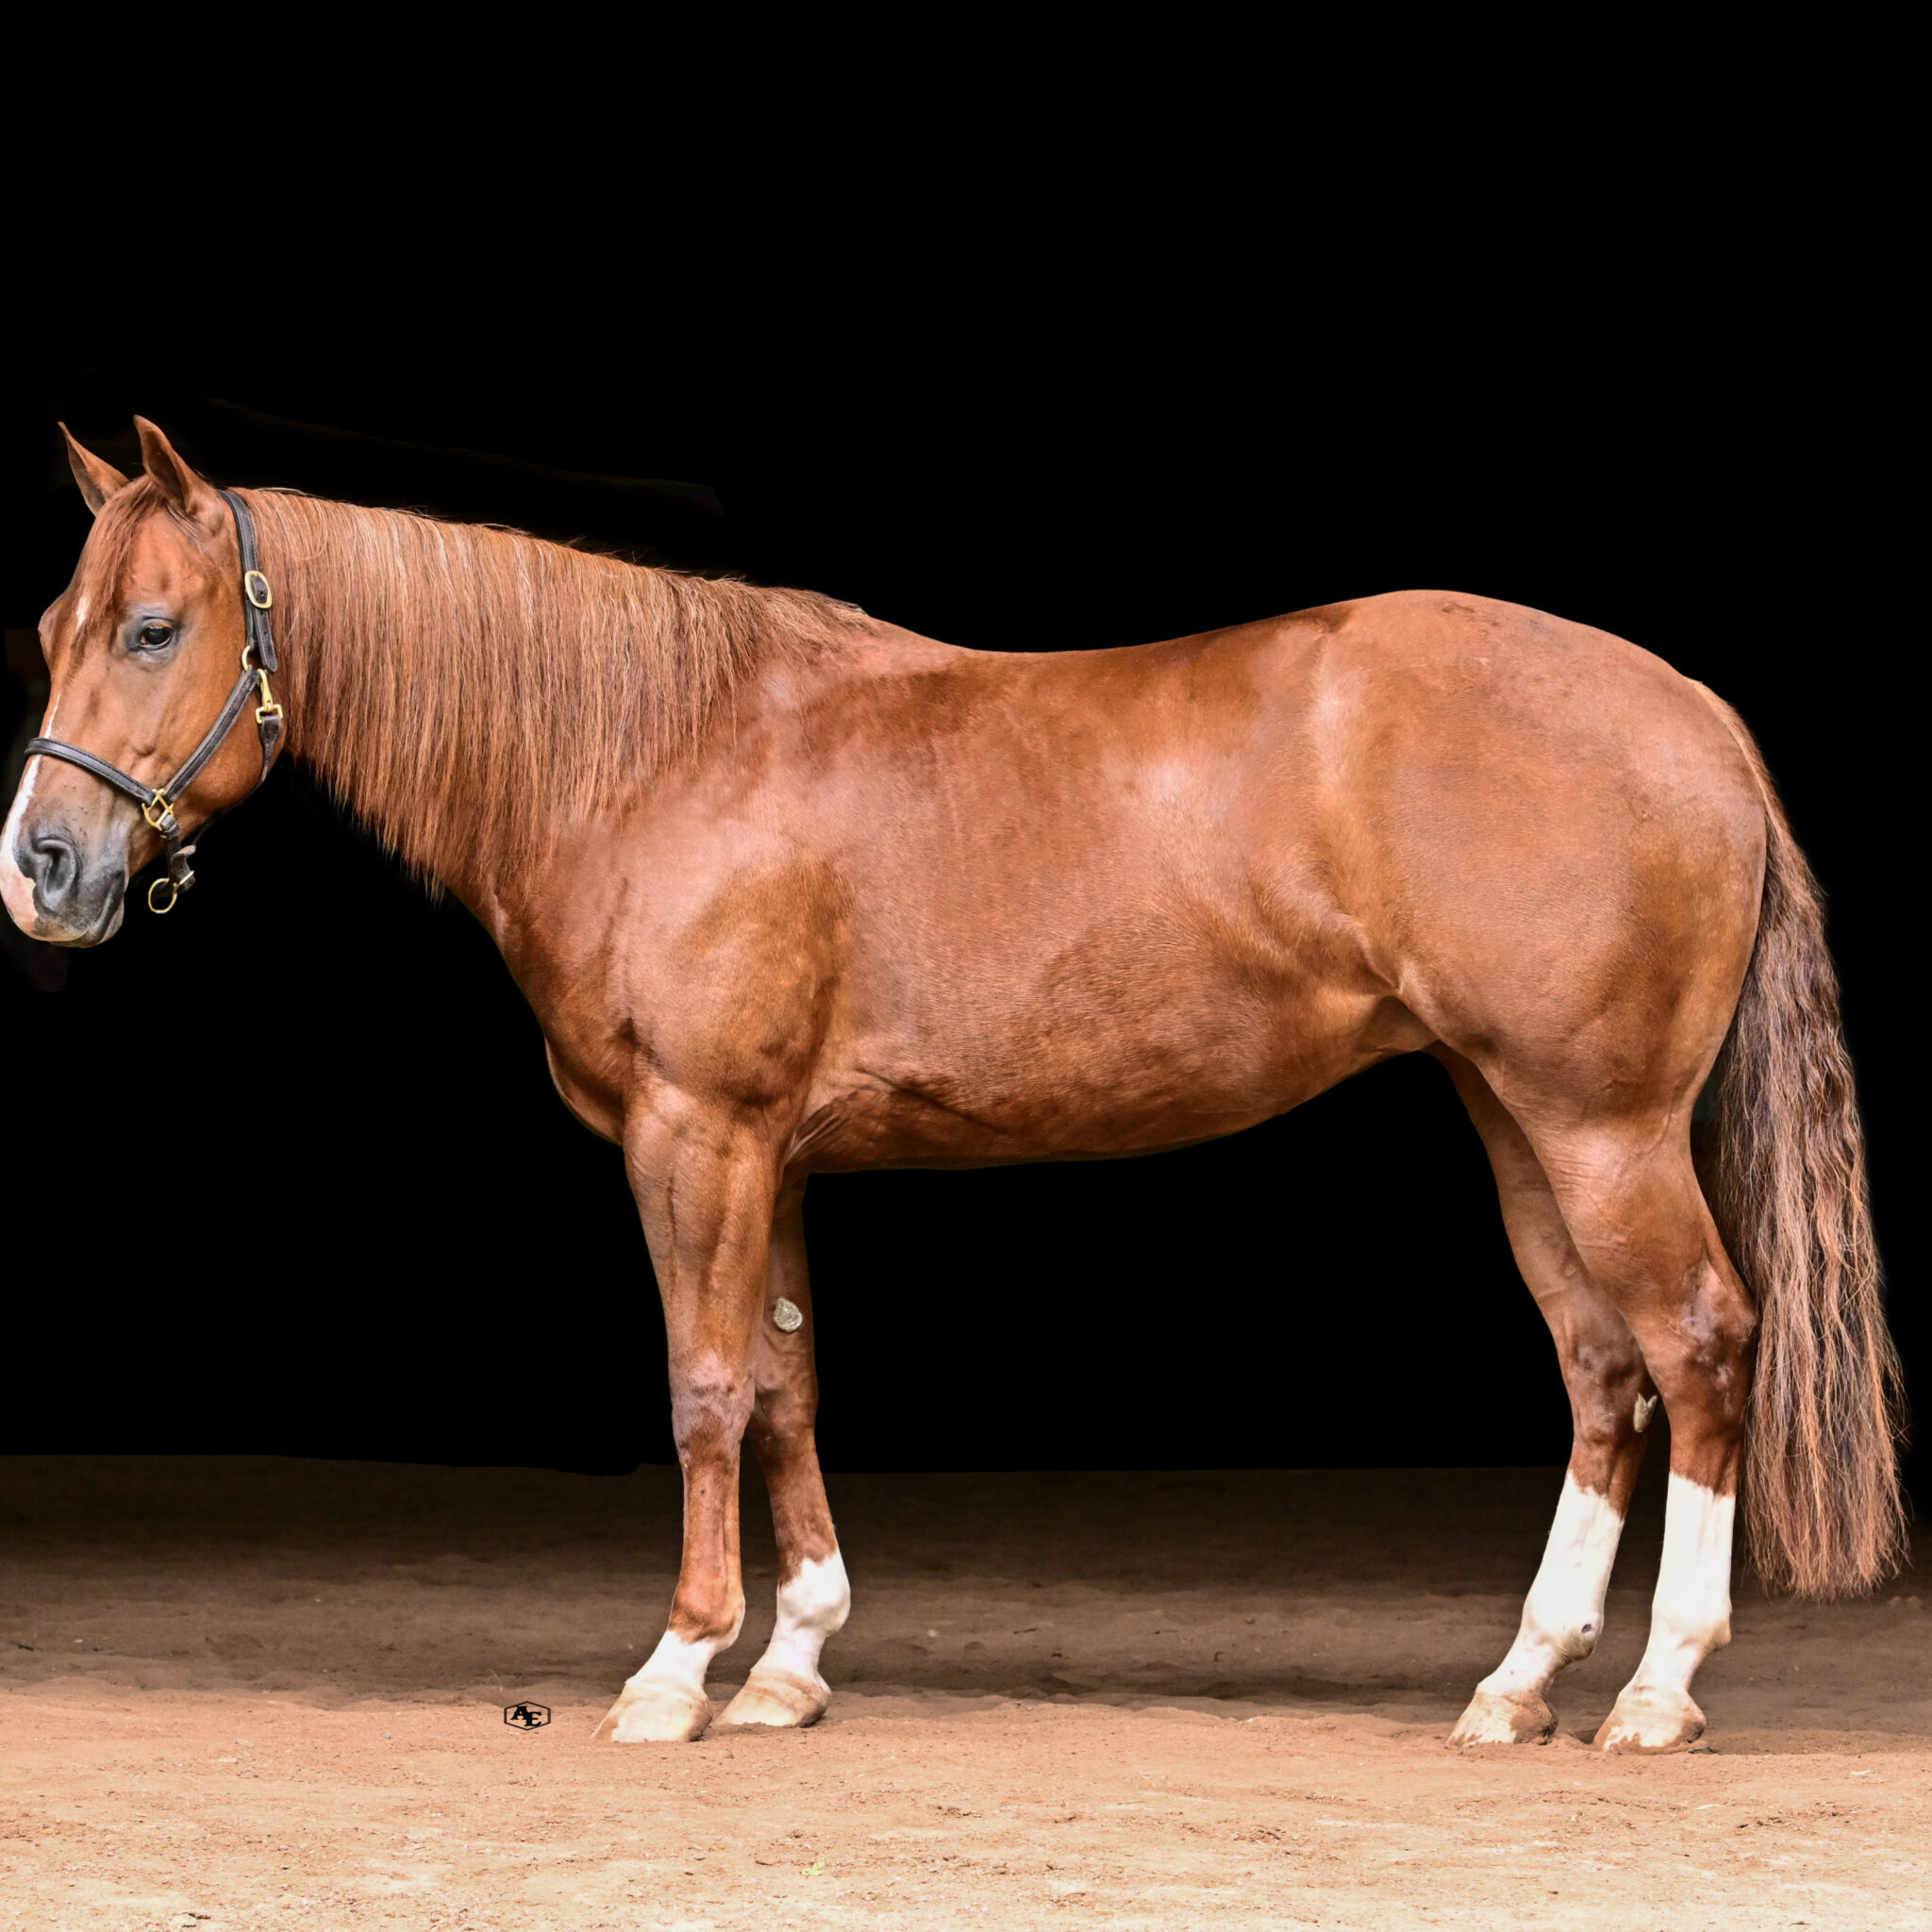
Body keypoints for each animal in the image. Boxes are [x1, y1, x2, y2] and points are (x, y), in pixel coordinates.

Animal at [5, 419, 1902, 1752]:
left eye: (155, 627)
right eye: (51, 624)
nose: (41, 868)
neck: (651, 754)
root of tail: (1694, 713)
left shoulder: (697, 1138)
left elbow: (704, 1388)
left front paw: (675, 1670)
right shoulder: (769, 1155)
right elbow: (787, 1387)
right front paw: (788, 1664)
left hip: (1600, 1127)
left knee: (1698, 1344)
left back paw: (1656, 1689)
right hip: (1513, 1117)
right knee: (1599, 1369)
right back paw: (1519, 1682)